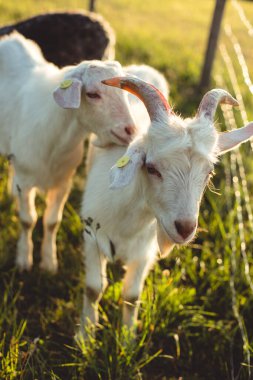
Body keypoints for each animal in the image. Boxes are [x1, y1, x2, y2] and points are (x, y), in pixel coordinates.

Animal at [0, 31, 136, 270]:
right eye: (92, 94)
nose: (130, 130)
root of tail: (10, 38)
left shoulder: (64, 182)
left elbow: (52, 222)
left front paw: (49, 262)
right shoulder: (25, 181)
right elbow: (27, 221)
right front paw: (24, 259)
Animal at [80, 75, 253, 336]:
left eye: (209, 172)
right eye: (151, 168)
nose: (185, 228)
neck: (127, 221)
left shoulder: (144, 253)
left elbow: (131, 296)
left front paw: (128, 338)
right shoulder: (92, 237)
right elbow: (93, 289)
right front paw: (85, 336)